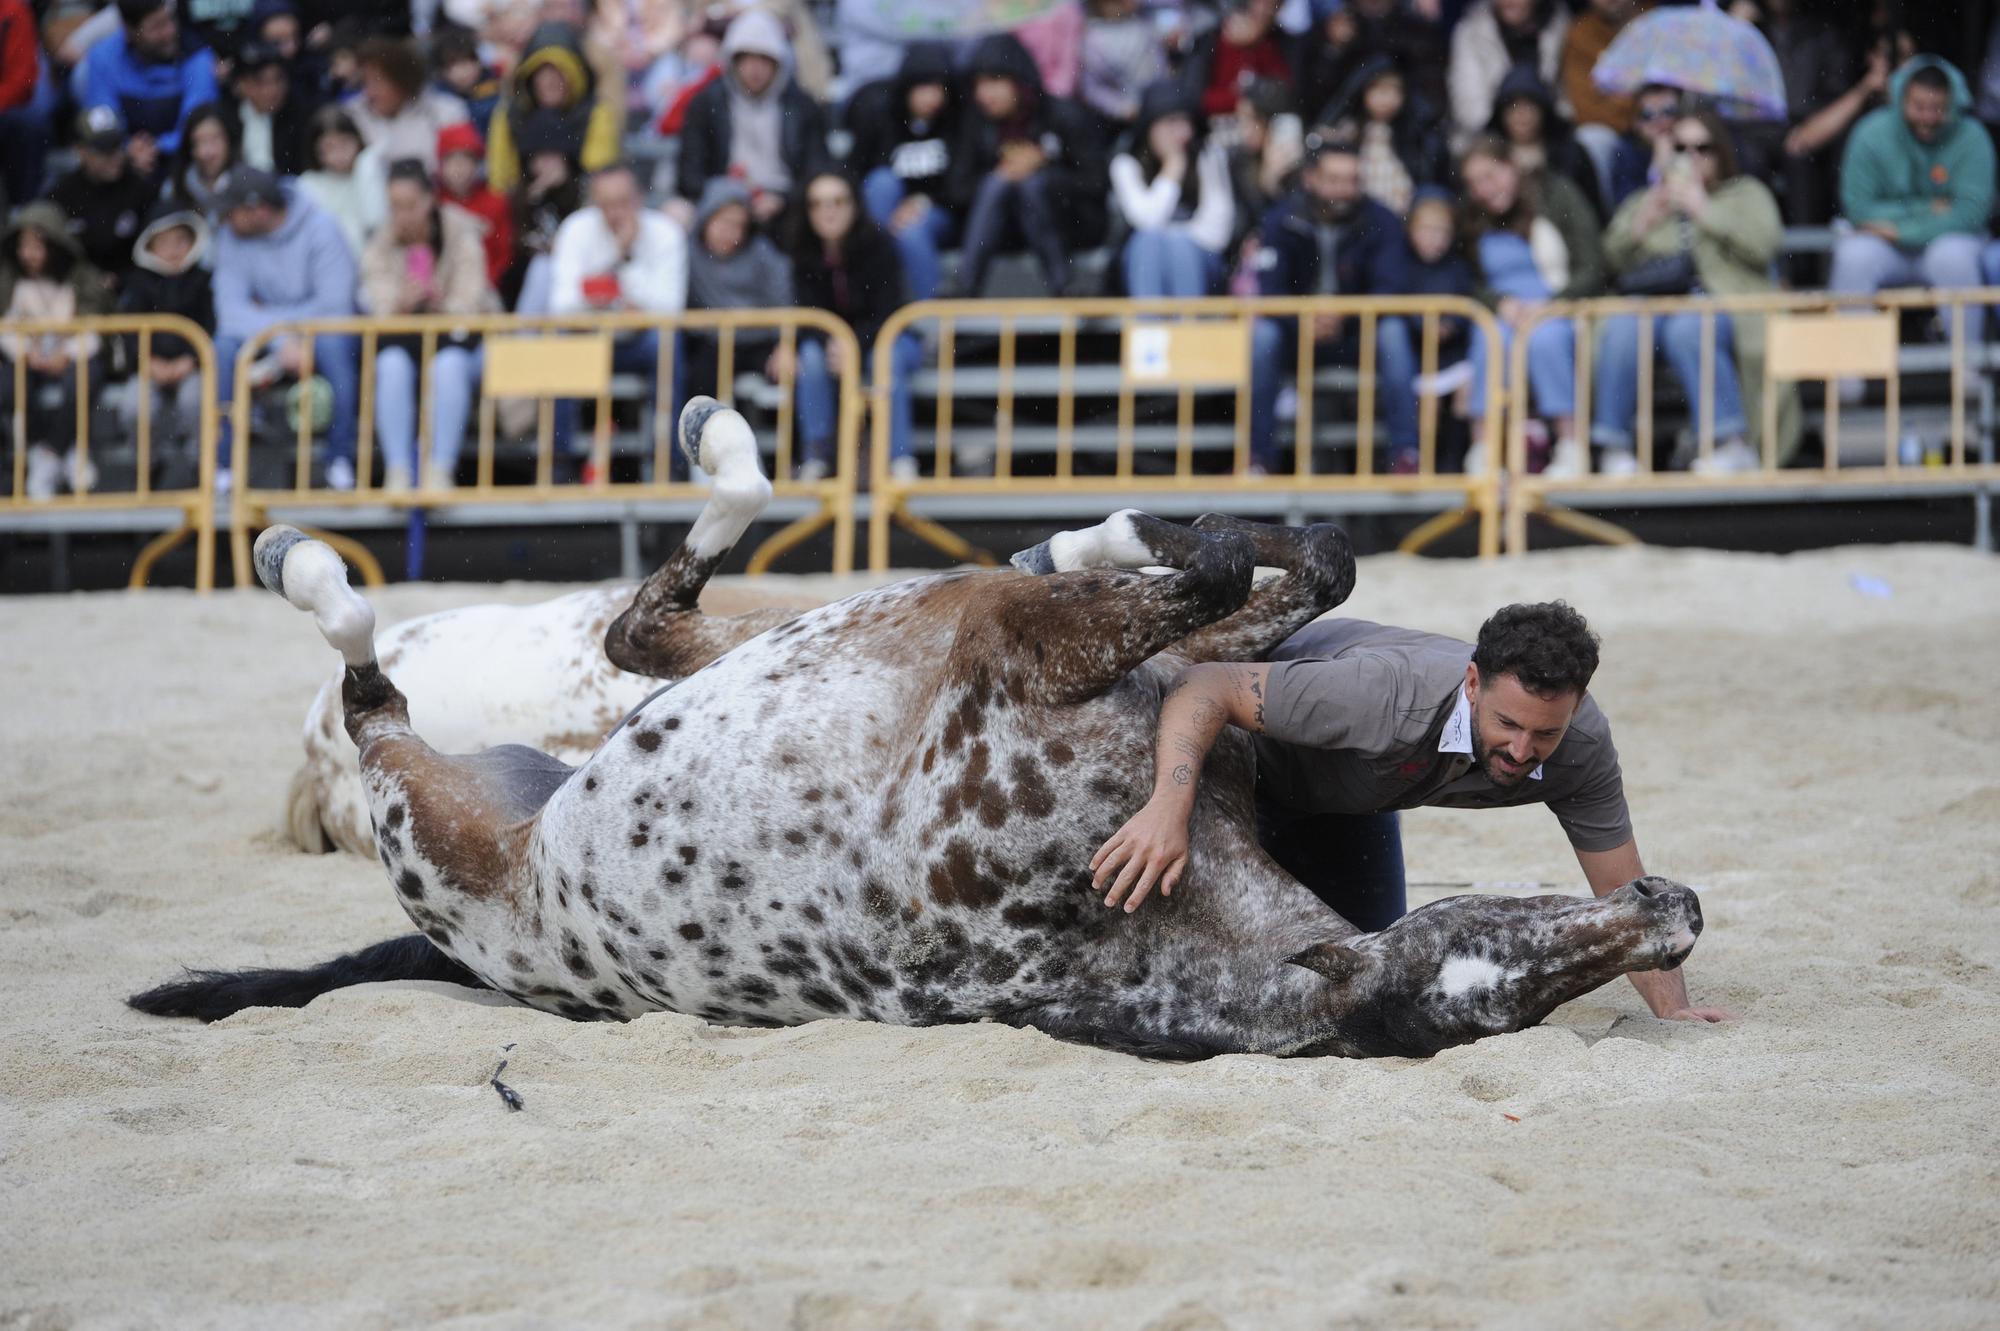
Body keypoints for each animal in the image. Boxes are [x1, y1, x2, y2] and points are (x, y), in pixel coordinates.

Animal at [125, 395, 1696, 1055]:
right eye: (1508, 955)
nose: (1671, 915)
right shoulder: (1030, 649)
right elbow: (1277, 564)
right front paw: (1111, 526)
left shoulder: (1011, 649)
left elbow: (1249, 570)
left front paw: (1119, 532)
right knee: (619, 631)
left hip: (436, 810)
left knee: (414, 682)